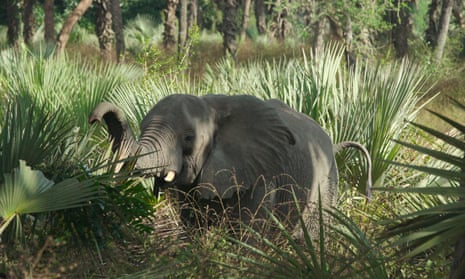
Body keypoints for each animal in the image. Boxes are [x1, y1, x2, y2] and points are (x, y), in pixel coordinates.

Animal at [88, 95, 370, 233]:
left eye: (188, 138)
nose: (93, 118)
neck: (213, 108)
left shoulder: (260, 176)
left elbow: (248, 236)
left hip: (326, 186)